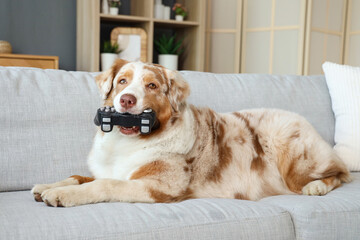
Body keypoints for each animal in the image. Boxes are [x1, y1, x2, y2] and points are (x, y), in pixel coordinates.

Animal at [31, 59, 352, 207]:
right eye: (122, 81)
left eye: (151, 86)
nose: (127, 100)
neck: (127, 142)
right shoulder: (109, 169)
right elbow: (80, 176)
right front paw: (50, 185)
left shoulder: (159, 187)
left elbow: (104, 185)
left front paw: (64, 194)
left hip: (294, 159)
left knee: (340, 173)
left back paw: (317, 187)